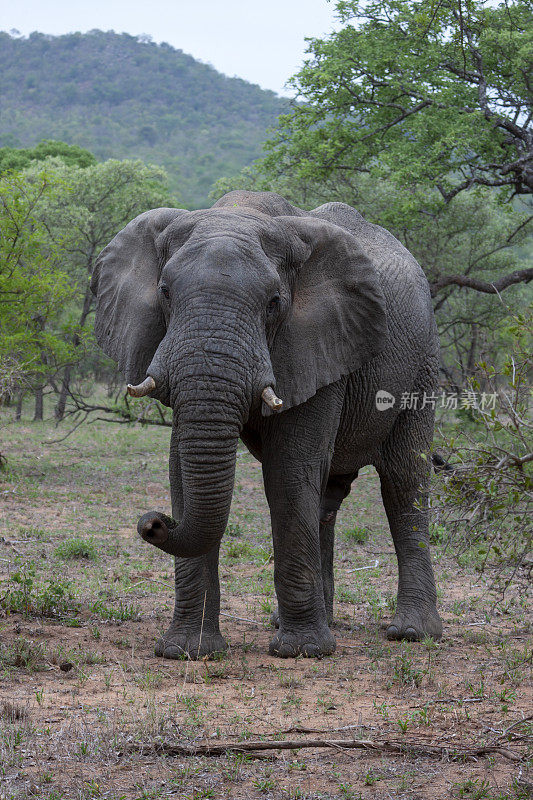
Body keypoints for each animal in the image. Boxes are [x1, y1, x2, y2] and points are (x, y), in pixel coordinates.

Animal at [90, 191, 440, 660]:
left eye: (274, 302)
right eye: (164, 292)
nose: (153, 523)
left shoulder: (319, 341)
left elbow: (288, 472)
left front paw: (302, 652)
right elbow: (182, 470)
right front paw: (186, 652)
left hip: (423, 362)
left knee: (403, 482)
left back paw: (412, 633)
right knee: (327, 497)